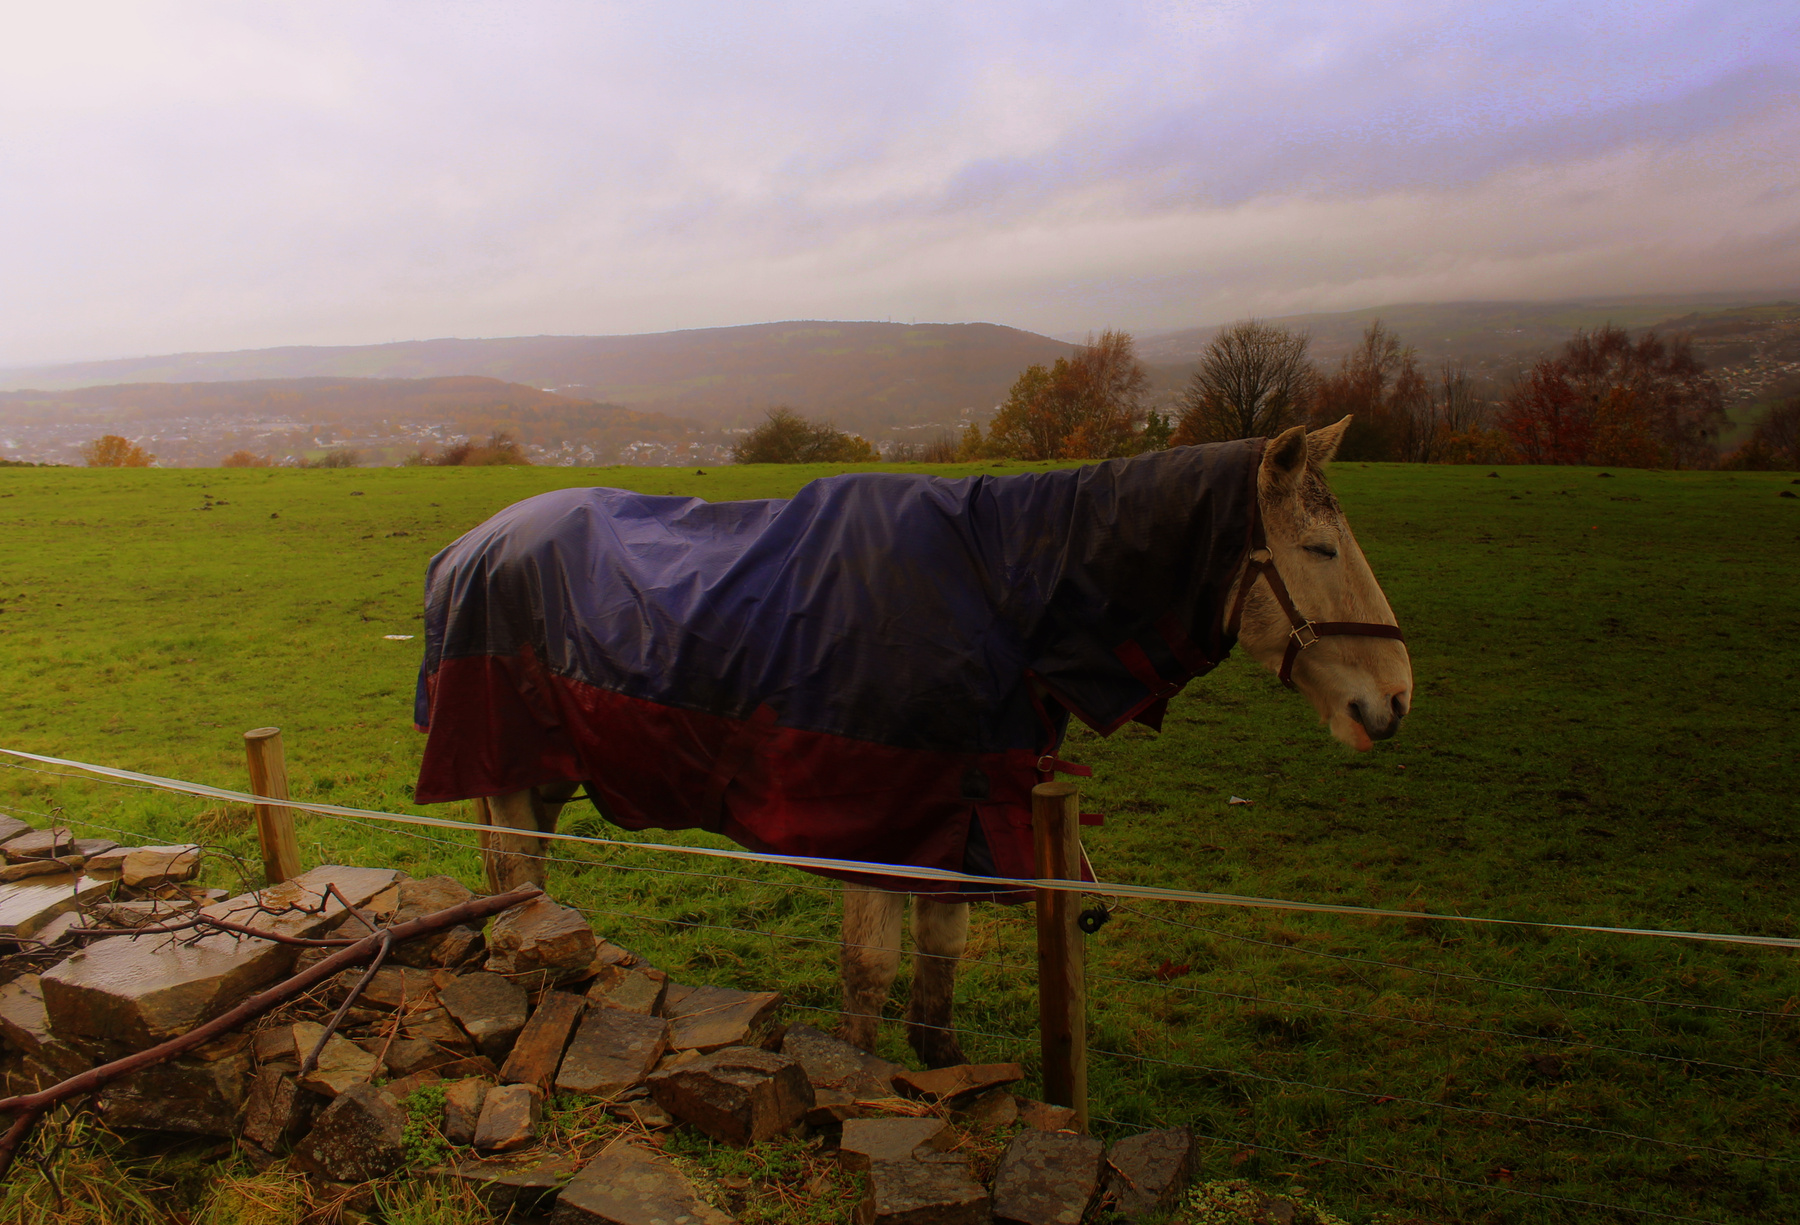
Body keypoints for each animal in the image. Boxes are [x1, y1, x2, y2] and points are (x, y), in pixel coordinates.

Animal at [411, 417, 1411, 1066]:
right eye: (1321, 549)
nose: (1395, 699)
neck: (1002, 599)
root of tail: (469, 546)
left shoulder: (957, 825)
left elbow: (937, 977)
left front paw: (946, 1075)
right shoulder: (877, 830)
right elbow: (869, 977)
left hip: (540, 774)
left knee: (521, 875)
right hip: (512, 765)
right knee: (521, 883)